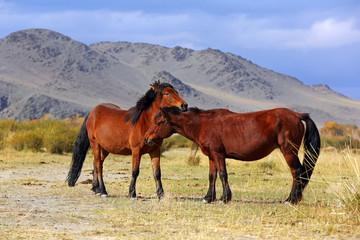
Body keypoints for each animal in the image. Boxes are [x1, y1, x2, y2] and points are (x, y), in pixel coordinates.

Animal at [145, 108, 322, 203]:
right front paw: (208, 198)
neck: (203, 124)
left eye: (158, 123)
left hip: (288, 151)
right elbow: (212, 176)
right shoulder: (211, 156)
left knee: (297, 172)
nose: (146, 138)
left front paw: (224, 198)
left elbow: (223, 174)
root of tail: (297, 115)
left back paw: (291, 200)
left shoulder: (218, 154)